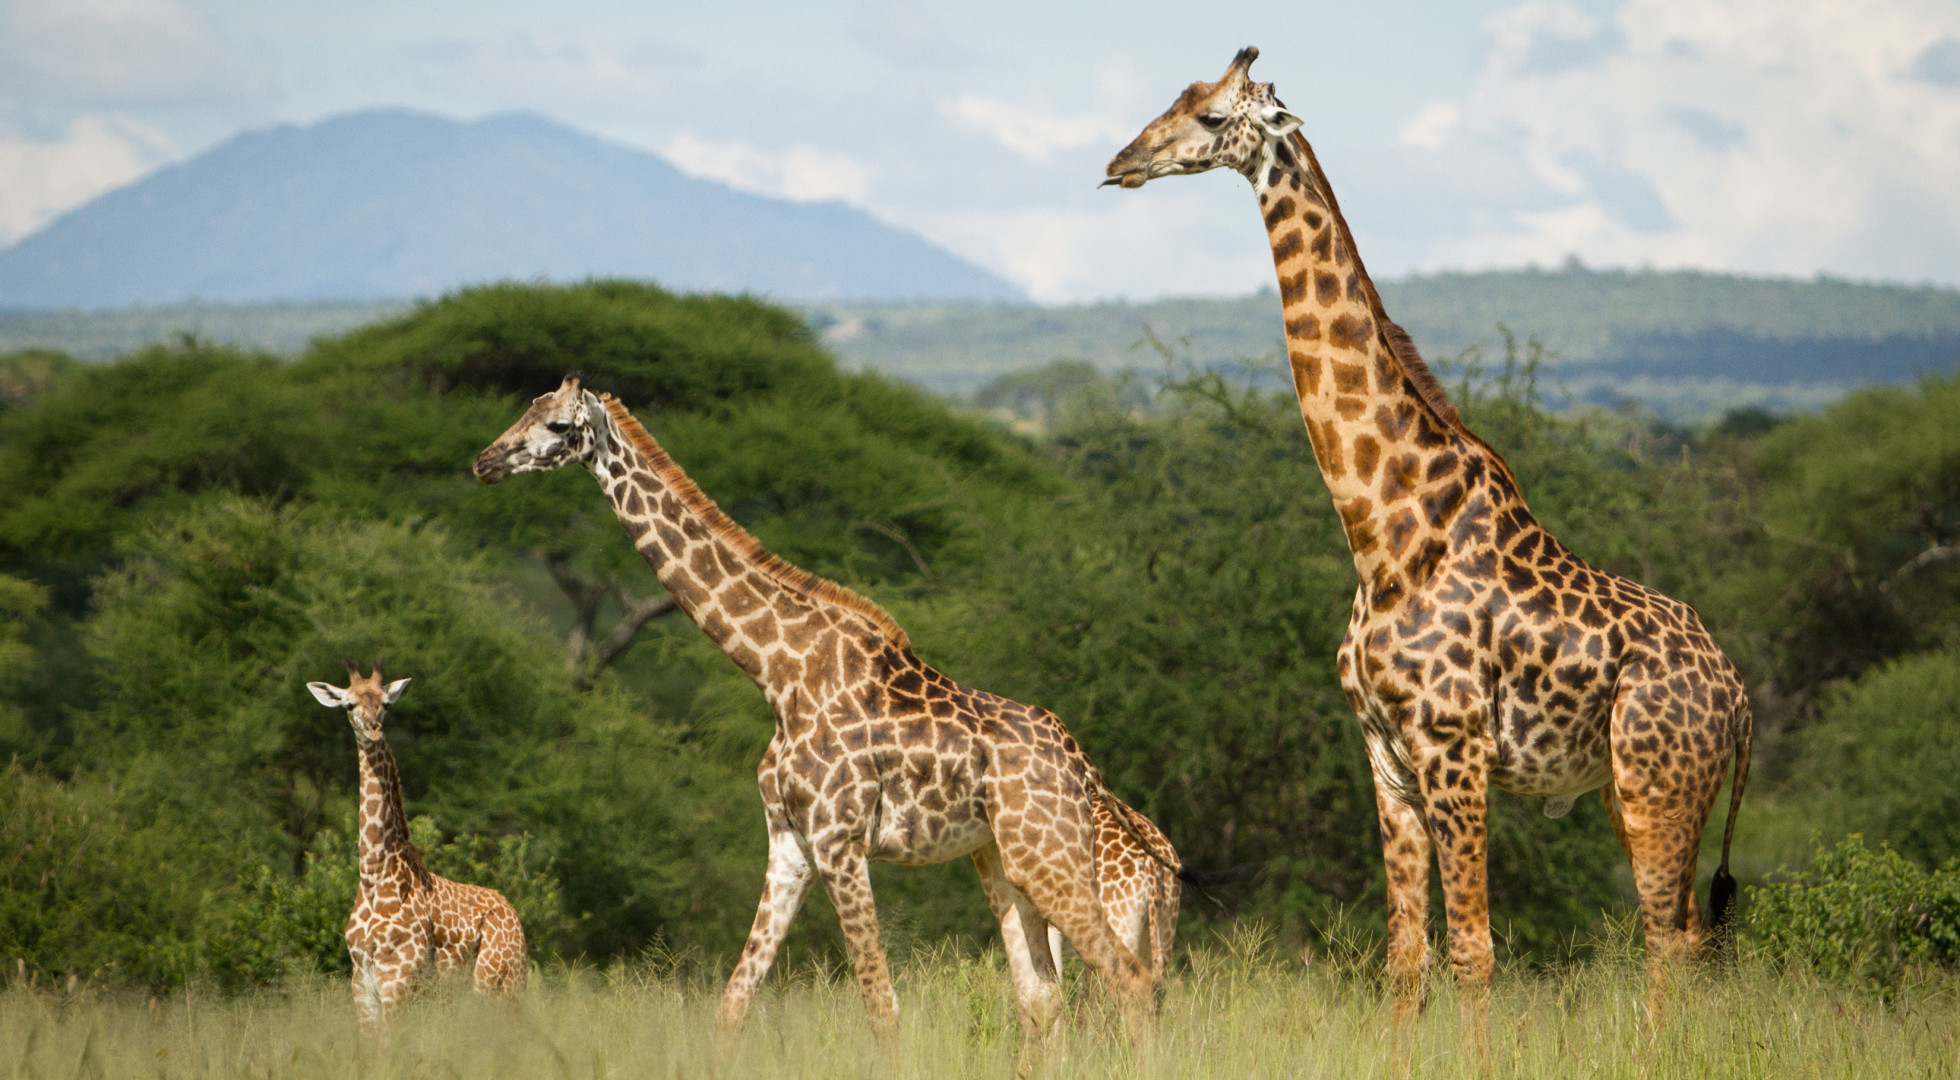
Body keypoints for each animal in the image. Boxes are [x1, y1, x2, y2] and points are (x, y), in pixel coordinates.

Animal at [307, 660, 527, 1030]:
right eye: (348, 704)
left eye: (386, 704)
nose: (373, 729)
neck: (373, 875)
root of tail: (514, 915)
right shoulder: (362, 986)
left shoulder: (398, 980)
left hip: (497, 982)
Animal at [471, 376, 1162, 1063]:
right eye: (526, 408)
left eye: (560, 426)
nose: (485, 460)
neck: (778, 674)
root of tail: (1083, 764)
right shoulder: (789, 845)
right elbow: (733, 1003)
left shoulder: (839, 839)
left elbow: (881, 1007)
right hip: (1002, 860)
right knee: (1042, 994)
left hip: (1051, 857)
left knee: (1130, 977)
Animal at [1103, 48, 1752, 1025]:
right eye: (1176, 98)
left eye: (1214, 117)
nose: (1122, 163)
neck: (1384, 530)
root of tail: (1739, 695)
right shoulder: (1386, 756)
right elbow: (1405, 958)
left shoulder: (1454, 748)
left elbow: (1474, 954)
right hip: (1635, 790)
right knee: (1680, 939)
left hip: (1657, 786)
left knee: (1669, 943)